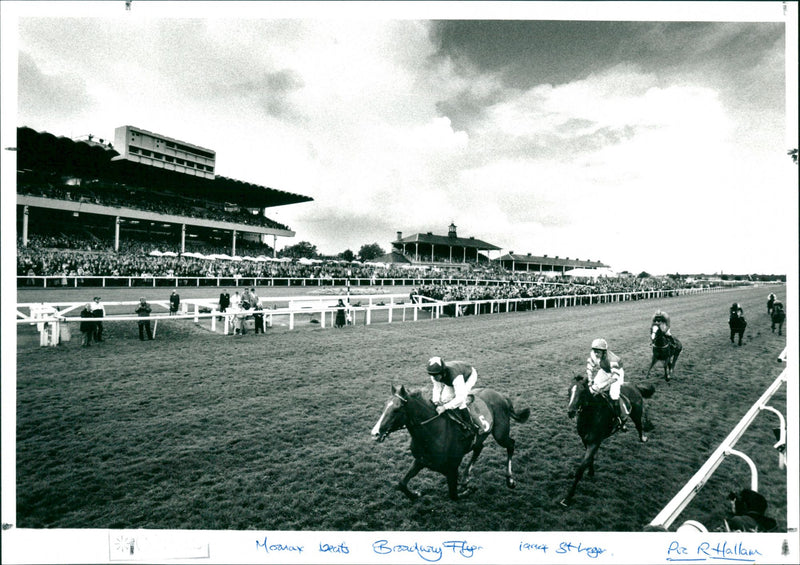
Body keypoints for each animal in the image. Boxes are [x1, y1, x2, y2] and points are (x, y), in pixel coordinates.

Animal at [374, 386, 532, 500]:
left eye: (396, 409)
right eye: (384, 407)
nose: (375, 433)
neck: (434, 432)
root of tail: (502, 396)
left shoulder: (452, 468)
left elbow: (454, 495)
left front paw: (469, 490)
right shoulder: (420, 460)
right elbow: (401, 484)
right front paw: (415, 495)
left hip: (500, 434)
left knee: (511, 444)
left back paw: (510, 480)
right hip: (480, 438)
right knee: (479, 448)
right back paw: (466, 477)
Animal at [560, 376, 652, 504]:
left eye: (582, 392)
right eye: (569, 391)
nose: (571, 411)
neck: (591, 417)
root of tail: (634, 385)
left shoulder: (595, 442)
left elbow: (580, 469)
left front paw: (568, 497)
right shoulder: (585, 440)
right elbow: (589, 459)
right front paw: (591, 471)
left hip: (636, 414)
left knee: (639, 425)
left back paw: (644, 435)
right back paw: (623, 426)